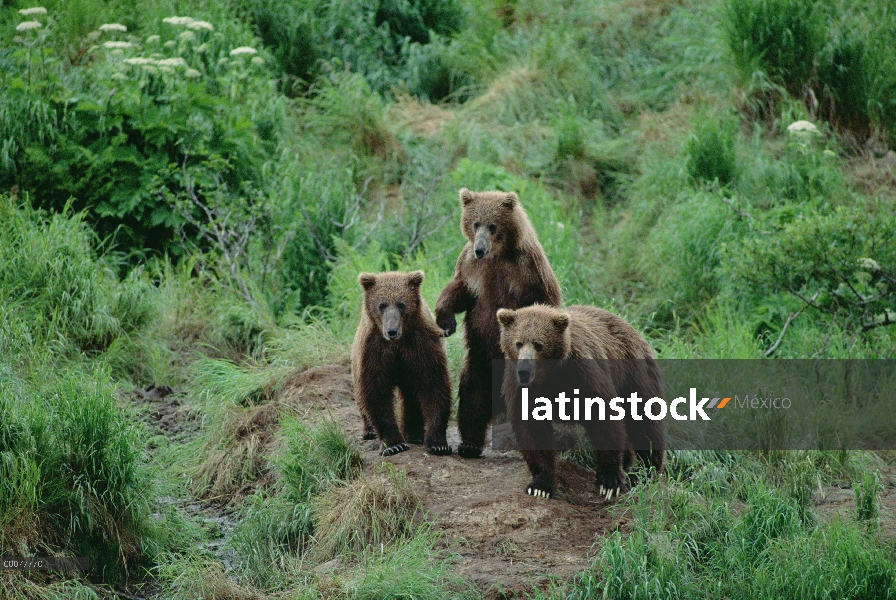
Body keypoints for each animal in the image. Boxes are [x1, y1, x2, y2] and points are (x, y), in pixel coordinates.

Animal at [352, 270, 452, 458]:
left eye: (401, 304)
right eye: (382, 305)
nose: (392, 331)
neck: (397, 343)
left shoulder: (421, 345)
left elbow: (434, 384)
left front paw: (438, 444)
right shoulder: (374, 350)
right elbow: (376, 390)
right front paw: (394, 445)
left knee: (412, 398)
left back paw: (414, 434)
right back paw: (369, 430)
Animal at [434, 189, 560, 460]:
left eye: (493, 225)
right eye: (475, 223)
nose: (480, 248)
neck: (498, 255)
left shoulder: (528, 271)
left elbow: (541, 303)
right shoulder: (471, 269)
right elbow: (458, 289)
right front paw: (446, 322)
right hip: (482, 356)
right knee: (474, 390)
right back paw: (469, 444)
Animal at [496, 304, 664, 496]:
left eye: (539, 344)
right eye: (518, 343)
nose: (524, 371)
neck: (549, 375)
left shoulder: (582, 373)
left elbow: (604, 419)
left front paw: (609, 481)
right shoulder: (522, 387)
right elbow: (532, 430)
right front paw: (540, 485)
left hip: (632, 373)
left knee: (645, 424)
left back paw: (647, 472)